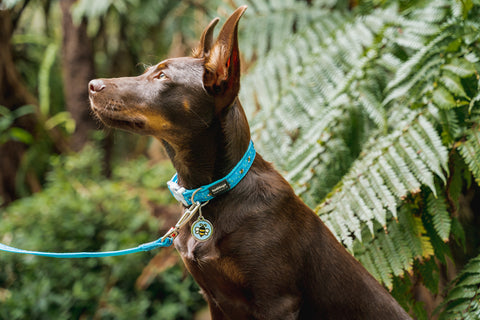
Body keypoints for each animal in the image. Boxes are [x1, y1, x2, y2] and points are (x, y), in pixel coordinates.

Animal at [89, 5, 412, 320]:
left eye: (163, 78)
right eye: (148, 71)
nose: (92, 85)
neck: (211, 193)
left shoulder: (276, 302)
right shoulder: (213, 298)